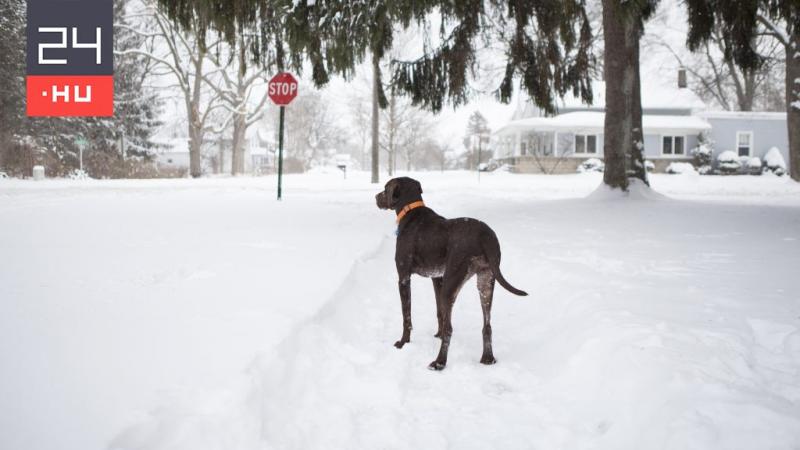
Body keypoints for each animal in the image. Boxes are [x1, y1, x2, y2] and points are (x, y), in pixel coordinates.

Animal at [376, 176, 528, 370]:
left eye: (385, 188)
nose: (375, 197)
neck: (411, 211)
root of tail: (484, 235)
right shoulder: (437, 278)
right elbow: (440, 312)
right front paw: (437, 334)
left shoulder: (403, 278)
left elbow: (406, 316)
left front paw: (403, 342)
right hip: (485, 281)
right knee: (487, 326)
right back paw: (487, 358)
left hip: (452, 283)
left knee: (451, 328)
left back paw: (439, 362)